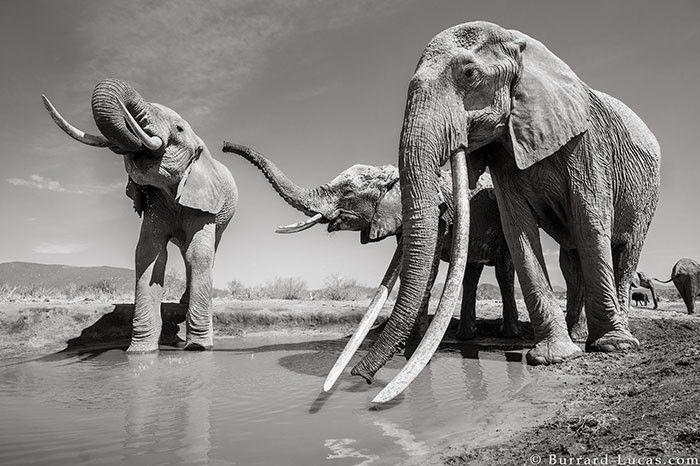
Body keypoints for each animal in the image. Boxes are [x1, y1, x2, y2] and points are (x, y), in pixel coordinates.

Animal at [43, 79, 238, 352]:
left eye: (179, 129)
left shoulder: (203, 201)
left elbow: (198, 254)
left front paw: (198, 348)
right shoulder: (155, 203)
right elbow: (149, 253)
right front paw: (140, 351)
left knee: (202, 252)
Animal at [221, 143, 519, 344]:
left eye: (347, 192)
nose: (224, 146)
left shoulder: (438, 215)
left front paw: (410, 342)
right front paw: (410, 340)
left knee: (503, 270)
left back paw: (508, 334)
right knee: (471, 273)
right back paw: (466, 337)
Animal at [345, 21, 660, 403]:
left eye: (469, 74)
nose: (360, 378)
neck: (523, 45)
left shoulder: (587, 143)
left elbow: (590, 220)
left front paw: (610, 348)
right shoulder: (504, 154)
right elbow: (517, 229)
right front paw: (554, 357)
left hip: (647, 196)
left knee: (625, 251)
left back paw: (615, 339)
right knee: (570, 261)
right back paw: (577, 335)